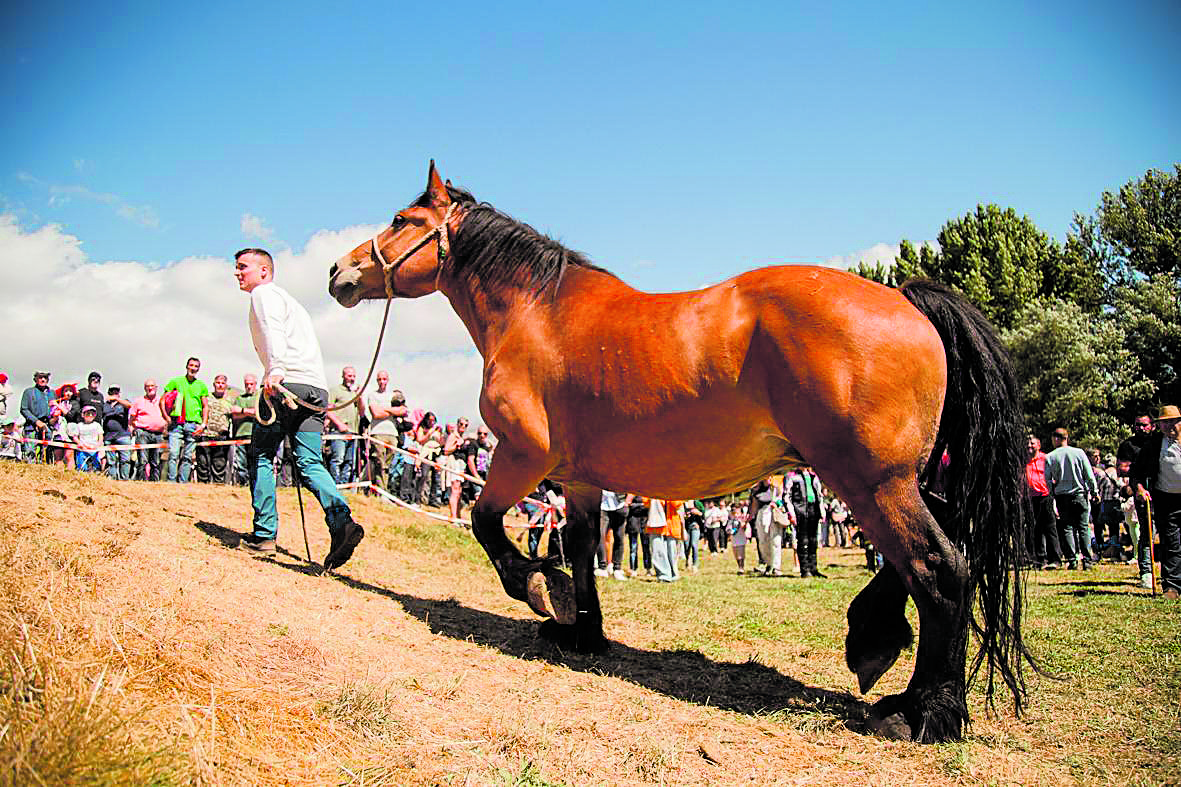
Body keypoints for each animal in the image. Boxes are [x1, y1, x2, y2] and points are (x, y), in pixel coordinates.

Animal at [328, 162, 1033, 743]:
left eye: (401, 221)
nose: (338, 272)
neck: (538, 314)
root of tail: (906, 299)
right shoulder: (580, 479)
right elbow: (582, 548)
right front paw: (582, 629)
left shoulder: (523, 455)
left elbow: (486, 524)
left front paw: (538, 587)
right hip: (898, 481)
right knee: (936, 558)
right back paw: (876, 640)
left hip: (872, 482)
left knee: (939, 568)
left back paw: (926, 711)